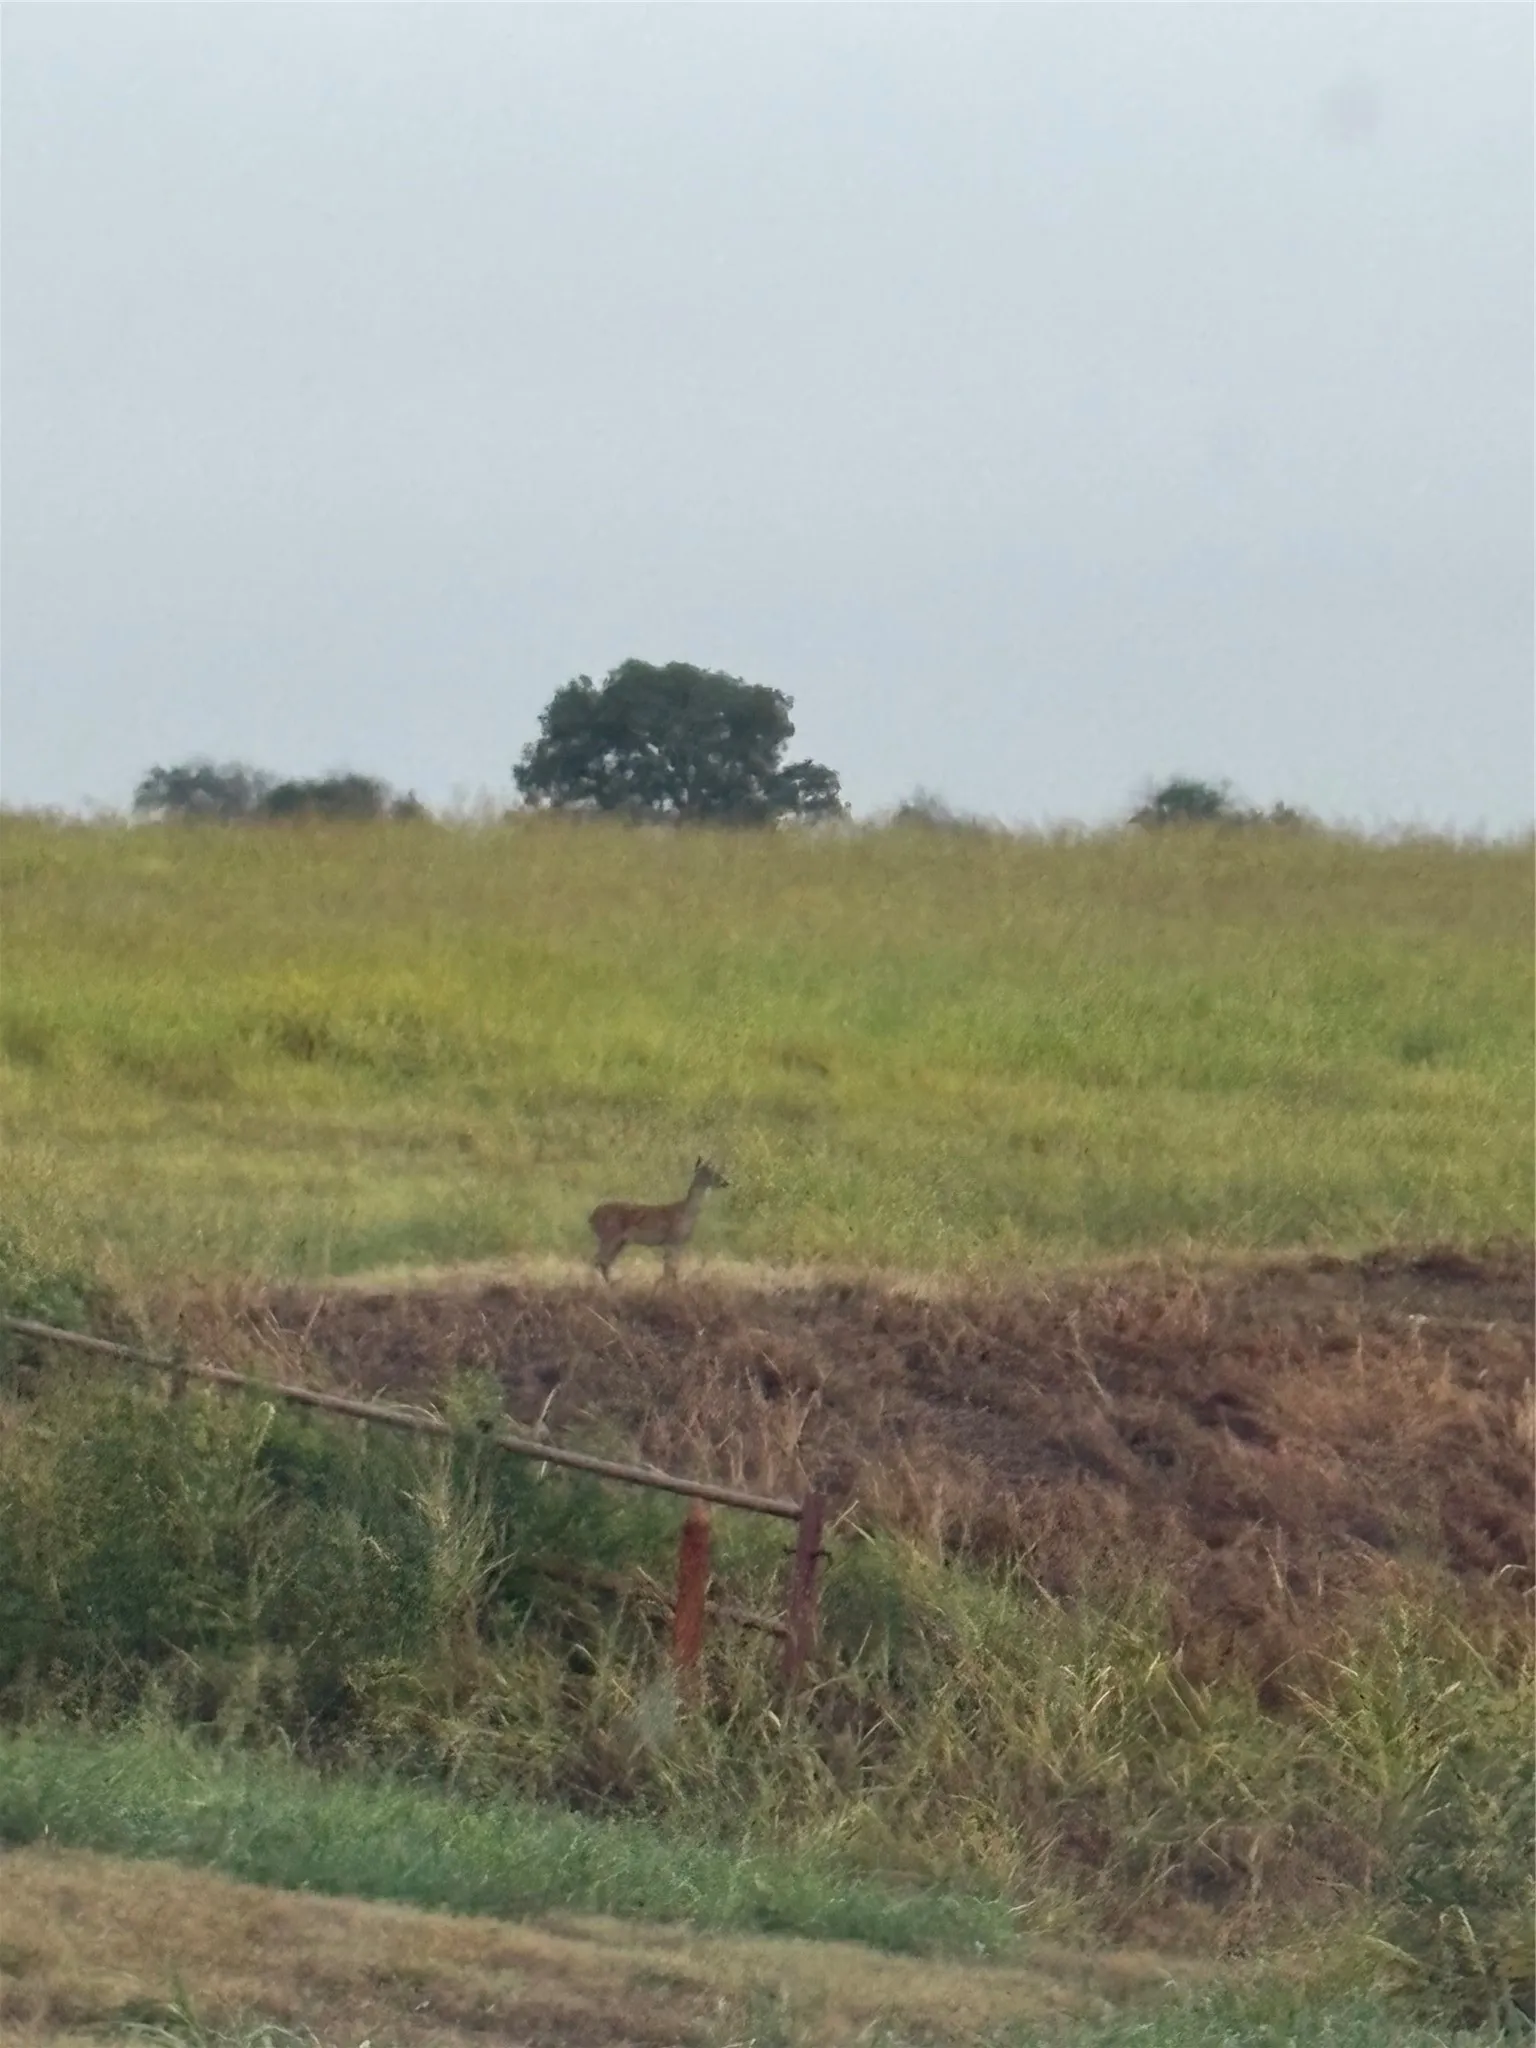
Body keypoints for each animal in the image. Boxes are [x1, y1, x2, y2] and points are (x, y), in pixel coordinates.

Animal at [588, 1158, 730, 1282]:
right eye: (709, 1172)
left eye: (715, 1171)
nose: (725, 1182)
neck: (687, 1213)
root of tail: (592, 1217)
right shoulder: (671, 1241)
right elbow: (670, 1271)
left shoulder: (678, 1244)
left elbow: (672, 1271)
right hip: (610, 1236)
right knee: (597, 1260)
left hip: (618, 1242)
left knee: (603, 1262)